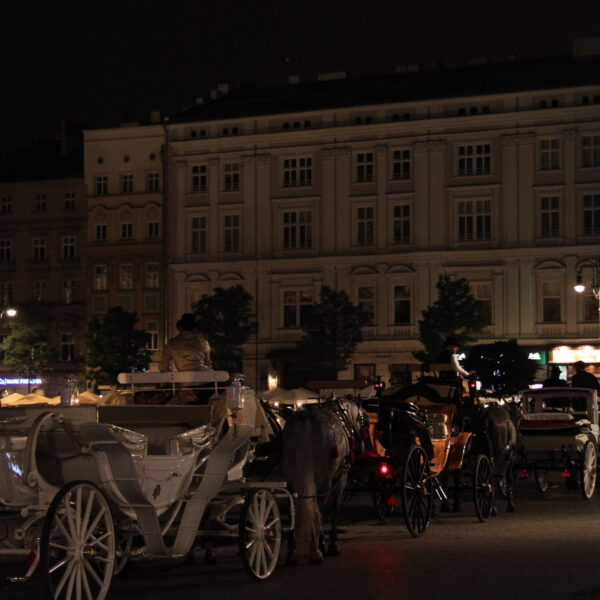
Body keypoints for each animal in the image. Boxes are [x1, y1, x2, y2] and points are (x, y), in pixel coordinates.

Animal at [282, 398, 366, 564]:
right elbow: (334, 512)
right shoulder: (341, 480)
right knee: (318, 510)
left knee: (293, 506)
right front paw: (332, 544)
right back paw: (316, 550)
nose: (362, 446)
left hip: (290, 479)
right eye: (362, 419)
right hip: (324, 482)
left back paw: (292, 550)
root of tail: (308, 417)